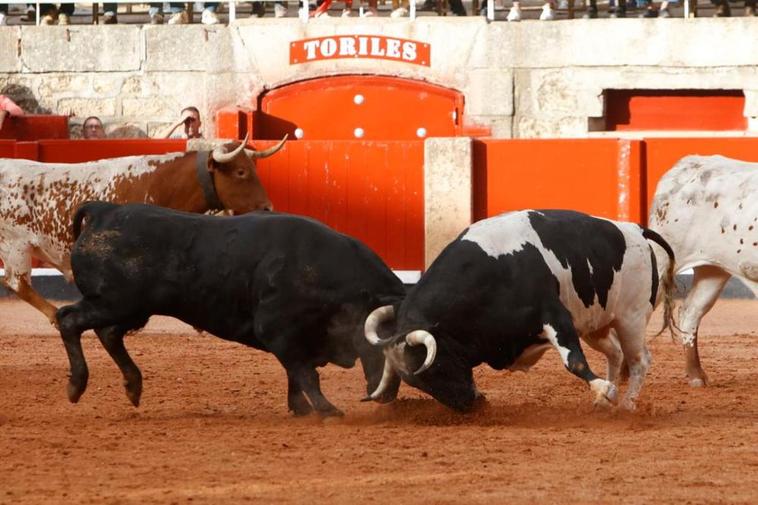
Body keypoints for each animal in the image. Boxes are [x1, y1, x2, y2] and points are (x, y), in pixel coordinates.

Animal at [0, 134, 284, 322]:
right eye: (240, 172)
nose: (268, 207)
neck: (159, 184)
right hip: (16, 246)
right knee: (18, 283)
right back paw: (57, 317)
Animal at [56, 201, 406, 418]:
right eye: (385, 345)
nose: (389, 395)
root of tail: (105, 210)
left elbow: (297, 374)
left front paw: (301, 408)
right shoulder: (277, 331)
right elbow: (304, 372)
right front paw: (326, 410)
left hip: (130, 309)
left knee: (108, 333)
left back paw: (133, 386)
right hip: (115, 303)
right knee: (69, 320)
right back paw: (76, 386)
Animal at [364, 209, 676, 410]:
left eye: (436, 367)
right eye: (417, 383)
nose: (469, 405)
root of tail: (635, 229)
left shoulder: (556, 316)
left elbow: (573, 361)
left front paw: (606, 389)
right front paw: (603, 392)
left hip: (630, 319)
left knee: (639, 360)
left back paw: (626, 404)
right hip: (595, 323)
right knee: (615, 353)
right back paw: (603, 402)